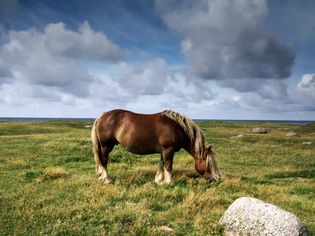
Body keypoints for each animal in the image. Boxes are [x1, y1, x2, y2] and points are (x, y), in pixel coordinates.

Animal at [90, 109, 221, 184]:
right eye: (208, 165)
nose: (214, 180)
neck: (177, 127)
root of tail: (102, 116)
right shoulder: (168, 150)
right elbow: (168, 165)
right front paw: (169, 182)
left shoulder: (164, 150)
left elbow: (161, 164)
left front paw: (158, 180)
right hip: (106, 146)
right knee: (104, 160)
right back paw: (106, 179)